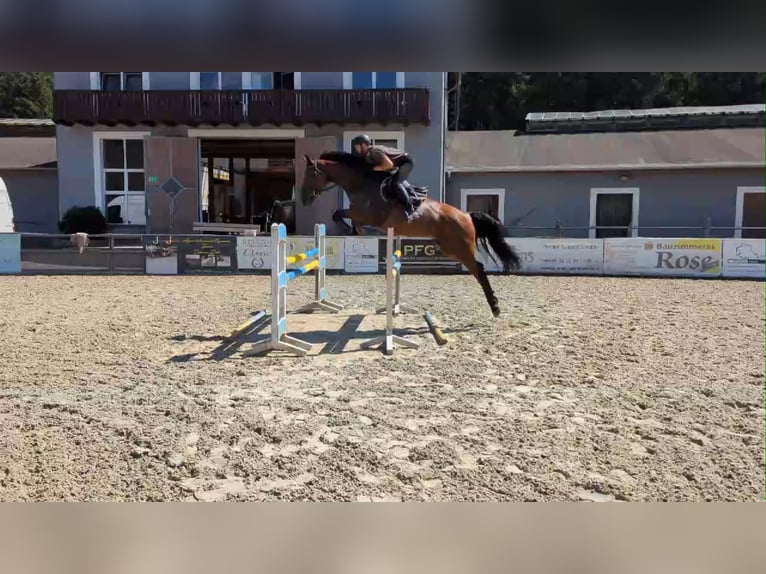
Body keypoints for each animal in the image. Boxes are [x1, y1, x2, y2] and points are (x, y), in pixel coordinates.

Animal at [300, 151, 520, 318]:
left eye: (309, 174)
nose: (304, 199)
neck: (361, 184)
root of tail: (466, 215)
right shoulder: (357, 213)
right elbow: (338, 214)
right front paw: (353, 230)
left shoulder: (366, 215)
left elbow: (343, 216)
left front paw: (354, 230)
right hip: (449, 248)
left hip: (459, 248)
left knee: (479, 270)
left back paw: (495, 307)